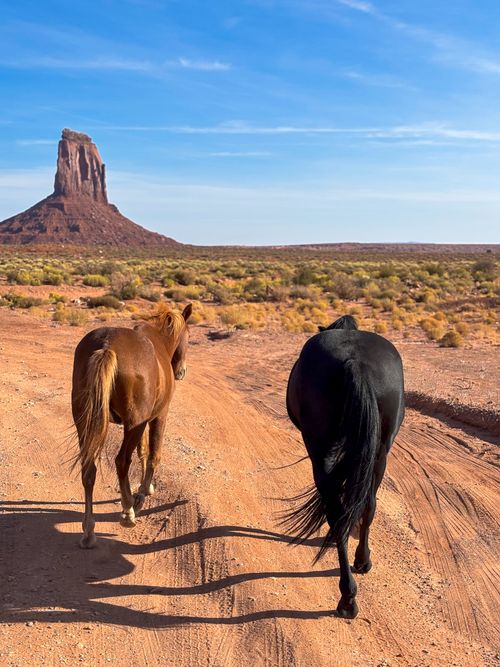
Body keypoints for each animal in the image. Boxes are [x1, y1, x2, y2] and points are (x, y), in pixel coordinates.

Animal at [71, 302, 192, 549]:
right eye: (189, 336)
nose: (181, 372)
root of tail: (107, 346)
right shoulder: (157, 417)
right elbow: (154, 454)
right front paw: (143, 491)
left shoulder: (141, 422)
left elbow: (143, 450)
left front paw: (144, 488)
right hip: (133, 423)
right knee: (121, 462)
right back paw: (128, 511)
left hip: (84, 422)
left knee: (88, 470)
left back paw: (89, 531)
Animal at [285, 314, 405, 618]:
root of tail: (354, 361)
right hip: (379, 452)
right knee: (366, 505)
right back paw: (359, 567)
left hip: (325, 450)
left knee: (341, 511)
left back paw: (348, 595)